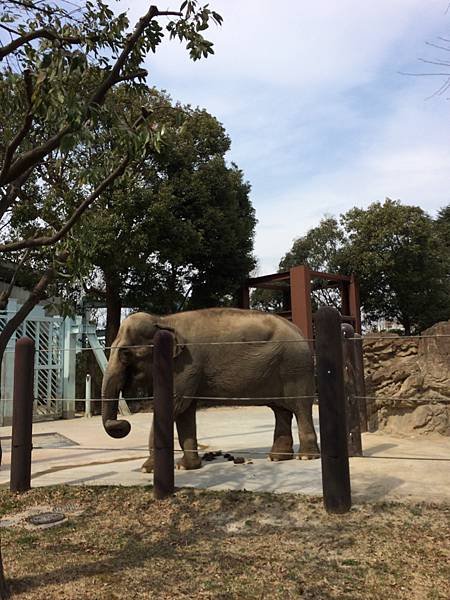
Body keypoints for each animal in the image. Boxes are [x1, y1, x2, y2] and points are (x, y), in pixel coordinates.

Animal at [102, 308, 320, 472]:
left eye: (125, 354)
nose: (124, 423)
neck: (163, 320)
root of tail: (300, 332)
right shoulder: (185, 370)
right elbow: (185, 412)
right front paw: (186, 467)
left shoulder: (185, 366)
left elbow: (175, 407)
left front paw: (147, 469)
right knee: (281, 411)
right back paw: (277, 458)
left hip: (295, 368)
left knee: (300, 407)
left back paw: (306, 458)